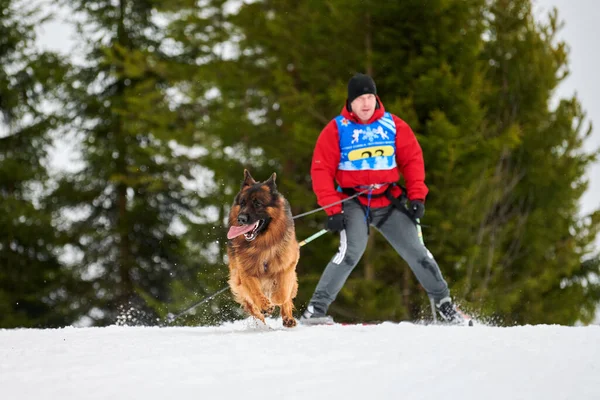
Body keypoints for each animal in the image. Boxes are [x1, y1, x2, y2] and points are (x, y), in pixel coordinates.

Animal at [225, 170, 300, 328]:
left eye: (257, 203)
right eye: (242, 203)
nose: (241, 219)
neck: (262, 245)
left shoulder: (287, 267)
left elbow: (283, 293)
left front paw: (275, 299)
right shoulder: (245, 272)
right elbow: (255, 291)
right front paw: (265, 305)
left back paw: (288, 318)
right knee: (253, 308)